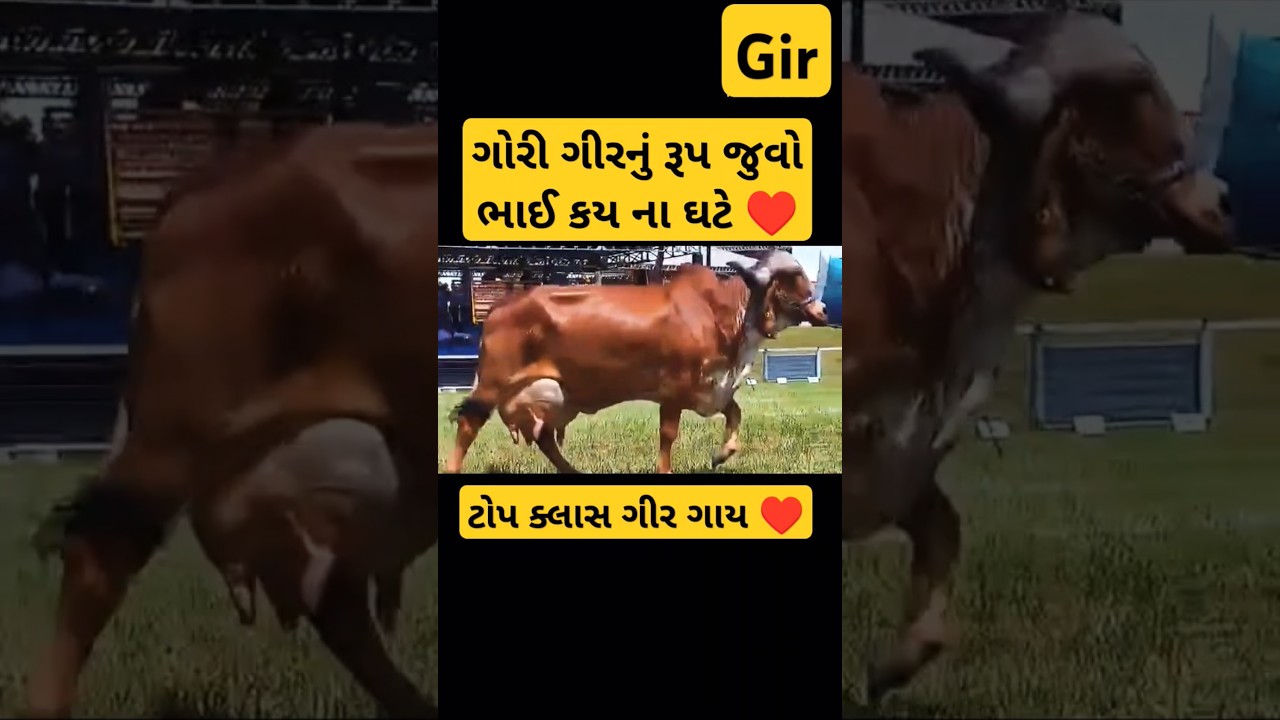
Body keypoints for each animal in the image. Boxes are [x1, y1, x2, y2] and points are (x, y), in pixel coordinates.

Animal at [445, 251, 828, 474]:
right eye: (794, 281)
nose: (822, 309)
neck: (722, 315)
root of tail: (501, 307)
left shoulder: (713, 389)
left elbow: (735, 414)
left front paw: (721, 455)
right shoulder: (673, 390)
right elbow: (668, 436)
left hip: (554, 395)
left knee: (545, 437)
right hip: (493, 383)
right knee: (469, 424)